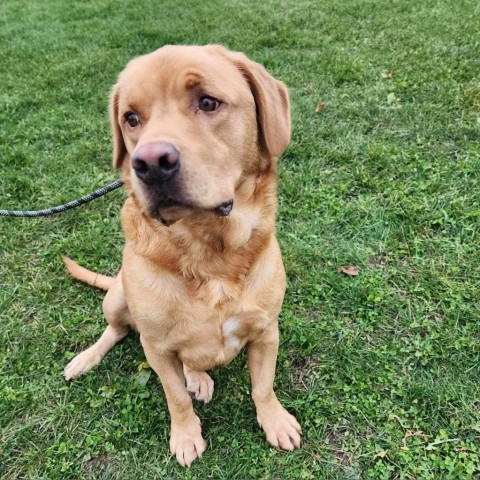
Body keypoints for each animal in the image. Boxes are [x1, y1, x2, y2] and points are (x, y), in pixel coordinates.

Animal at [63, 44, 302, 464]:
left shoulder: (266, 330)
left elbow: (263, 386)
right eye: (131, 118)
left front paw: (274, 420)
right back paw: (86, 359)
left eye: (207, 101)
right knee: (116, 330)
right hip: (118, 297)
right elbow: (175, 397)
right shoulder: (156, 349)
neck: (209, 250)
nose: (149, 163)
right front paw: (186, 435)